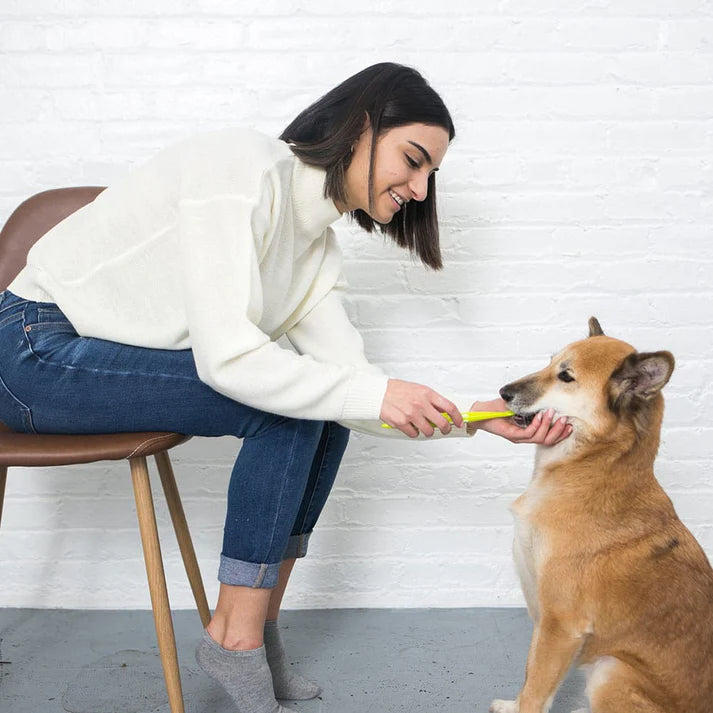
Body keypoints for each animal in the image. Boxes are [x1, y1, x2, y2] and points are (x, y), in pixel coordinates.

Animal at [486, 318, 712, 712]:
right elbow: (532, 681)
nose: (503, 392)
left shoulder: (560, 625)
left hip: (611, 668)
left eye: (565, 377)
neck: (590, 469)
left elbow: (536, 690)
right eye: (549, 362)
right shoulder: (543, 621)